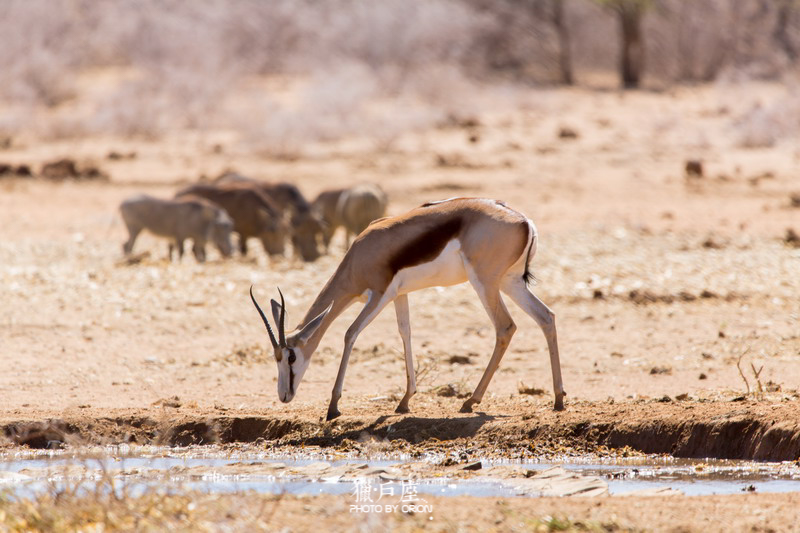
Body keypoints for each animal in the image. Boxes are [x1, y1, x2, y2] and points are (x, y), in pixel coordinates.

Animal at [247, 196, 564, 420]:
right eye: (274, 357)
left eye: (290, 356)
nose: (284, 395)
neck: (361, 253)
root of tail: (523, 221)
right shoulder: (400, 295)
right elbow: (405, 333)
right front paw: (404, 401)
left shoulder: (379, 295)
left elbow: (350, 334)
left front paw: (333, 407)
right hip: (511, 283)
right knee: (546, 317)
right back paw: (558, 399)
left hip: (485, 283)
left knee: (505, 327)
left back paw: (470, 401)